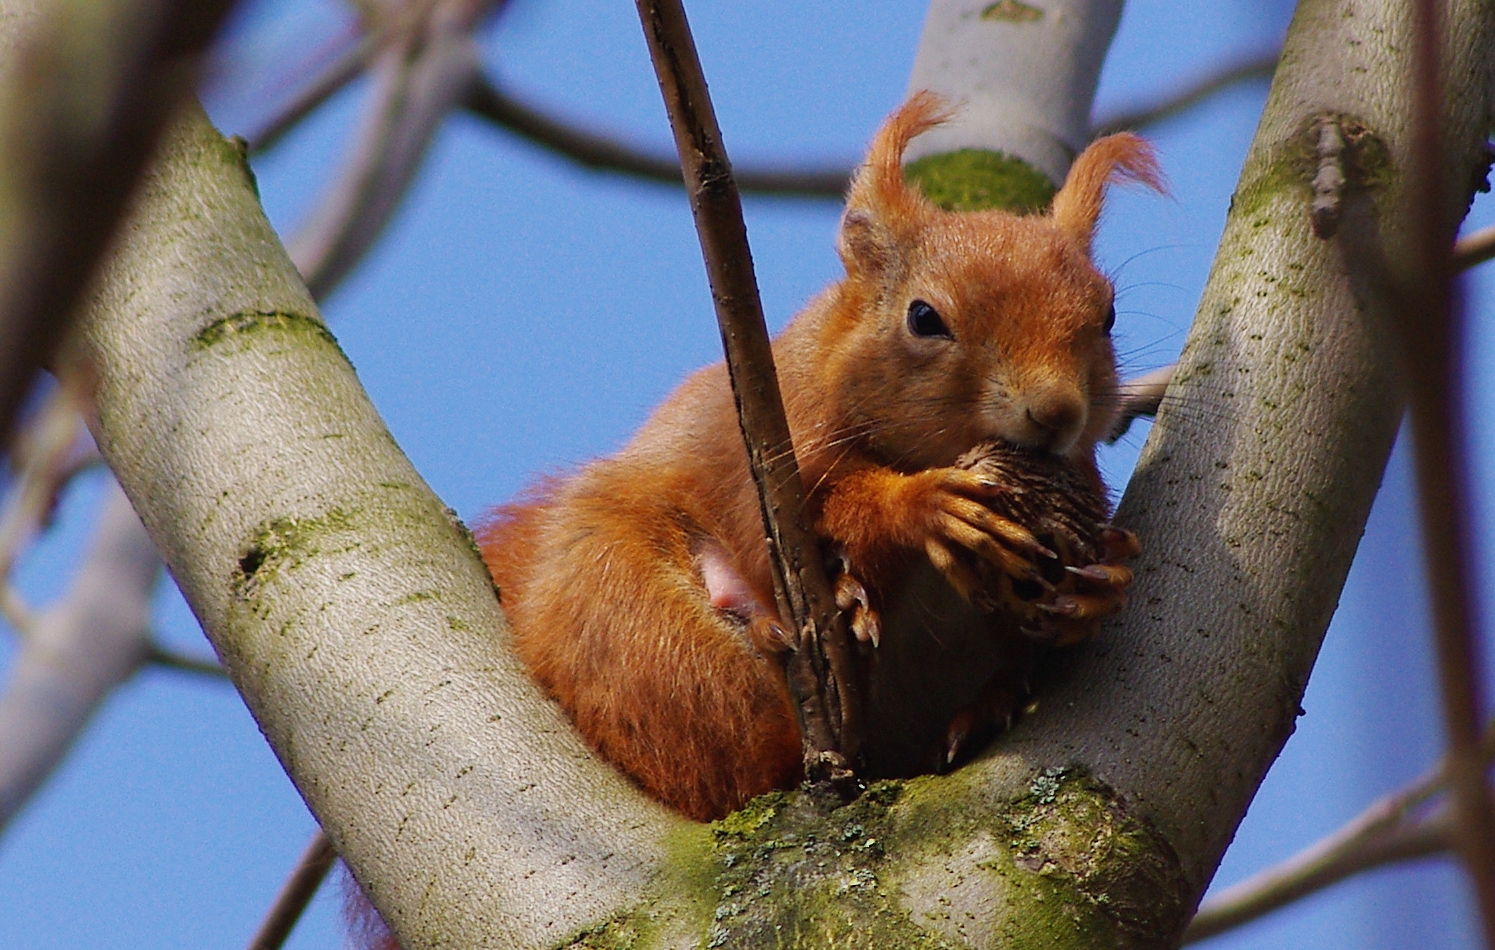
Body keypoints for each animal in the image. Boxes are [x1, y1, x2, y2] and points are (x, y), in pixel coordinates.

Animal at [475, 96, 1154, 825]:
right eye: (923, 318)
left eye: (1109, 316)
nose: (1056, 413)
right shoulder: (767, 443)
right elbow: (796, 522)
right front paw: (924, 507)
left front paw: (1101, 585)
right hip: (636, 627)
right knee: (735, 754)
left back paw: (982, 709)